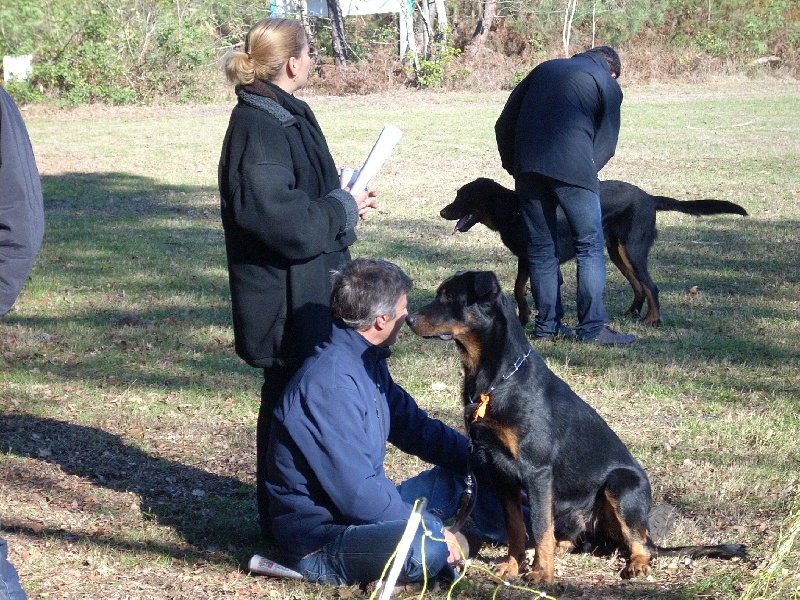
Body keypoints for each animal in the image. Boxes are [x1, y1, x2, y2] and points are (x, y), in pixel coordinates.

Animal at [410, 270, 748, 580]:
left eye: (449, 297)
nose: (410, 319)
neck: (494, 380)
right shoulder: (499, 472)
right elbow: (517, 526)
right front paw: (512, 565)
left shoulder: (536, 471)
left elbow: (539, 528)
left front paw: (541, 575)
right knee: (576, 540)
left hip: (621, 484)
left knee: (642, 545)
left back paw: (636, 564)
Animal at [440, 178, 748, 328]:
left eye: (462, 197)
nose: (442, 212)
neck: (512, 211)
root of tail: (650, 198)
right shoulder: (527, 259)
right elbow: (519, 289)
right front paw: (526, 316)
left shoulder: (539, 259)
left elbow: (528, 290)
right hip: (615, 250)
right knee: (638, 286)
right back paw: (632, 312)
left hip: (632, 249)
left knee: (651, 286)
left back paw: (652, 319)